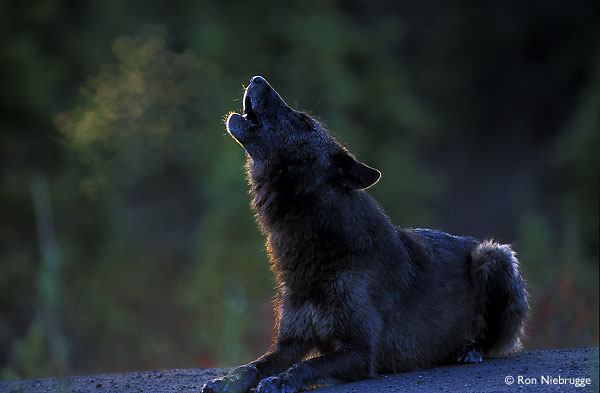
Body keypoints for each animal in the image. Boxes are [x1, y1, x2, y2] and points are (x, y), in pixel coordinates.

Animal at [200, 76, 524, 392]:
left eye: (302, 120)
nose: (257, 78)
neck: (315, 248)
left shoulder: (361, 352)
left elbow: (307, 366)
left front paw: (281, 380)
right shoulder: (289, 343)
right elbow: (252, 366)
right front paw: (226, 381)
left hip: (492, 255)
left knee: (492, 340)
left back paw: (470, 350)